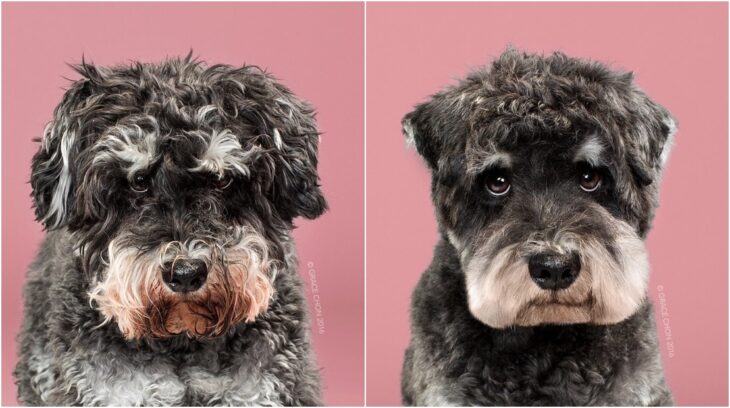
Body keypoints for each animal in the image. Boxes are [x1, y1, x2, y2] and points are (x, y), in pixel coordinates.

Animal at [13, 55, 328, 406]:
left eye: (222, 179)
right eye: (138, 181)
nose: (186, 273)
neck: (182, 339)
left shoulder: (262, 389)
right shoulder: (108, 392)